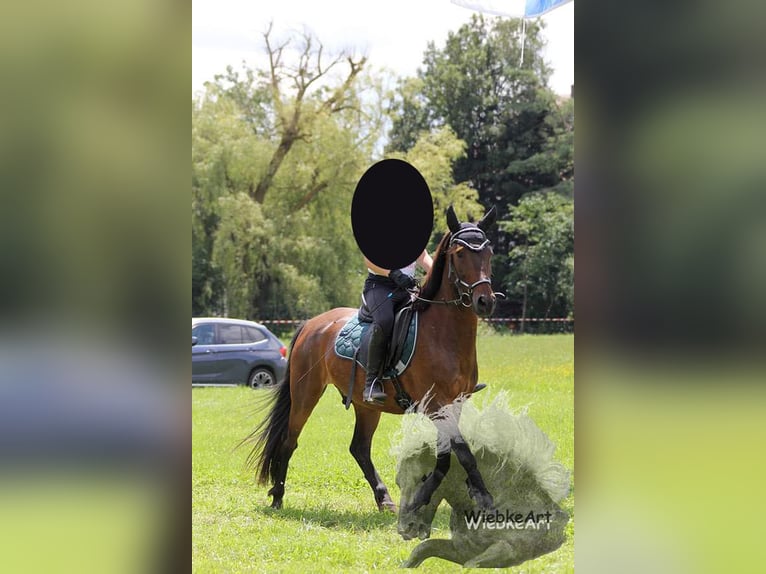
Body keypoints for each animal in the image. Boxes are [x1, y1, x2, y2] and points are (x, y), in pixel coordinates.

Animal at [245, 205, 499, 512]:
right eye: (460, 254)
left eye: (489, 253)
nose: (485, 301)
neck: (443, 333)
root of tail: (311, 324)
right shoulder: (436, 404)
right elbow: (463, 452)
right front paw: (485, 499)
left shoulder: (455, 403)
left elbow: (447, 456)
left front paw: (423, 497)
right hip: (306, 394)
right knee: (289, 440)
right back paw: (278, 496)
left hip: (366, 405)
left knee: (359, 448)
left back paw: (384, 498)